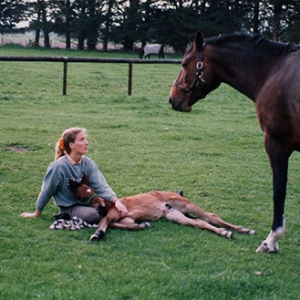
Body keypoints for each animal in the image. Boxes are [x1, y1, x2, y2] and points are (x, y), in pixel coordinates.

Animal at [69, 172, 254, 240]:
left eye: (93, 190)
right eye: (81, 196)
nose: (100, 206)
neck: (109, 205)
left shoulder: (118, 214)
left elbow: (106, 221)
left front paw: (97, 233)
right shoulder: (127, 219)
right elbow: (118, 224)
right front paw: (143, 225)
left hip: (185, 206)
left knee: (210, 216)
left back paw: (243, 230)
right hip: (175, 215)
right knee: (199, 223)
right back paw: (225, 232)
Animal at [169, 31, 300, 253]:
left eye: (185, 63)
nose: (172, 98)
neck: (273, 70)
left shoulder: (276, 144)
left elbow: (279, 191)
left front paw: (272, 239)